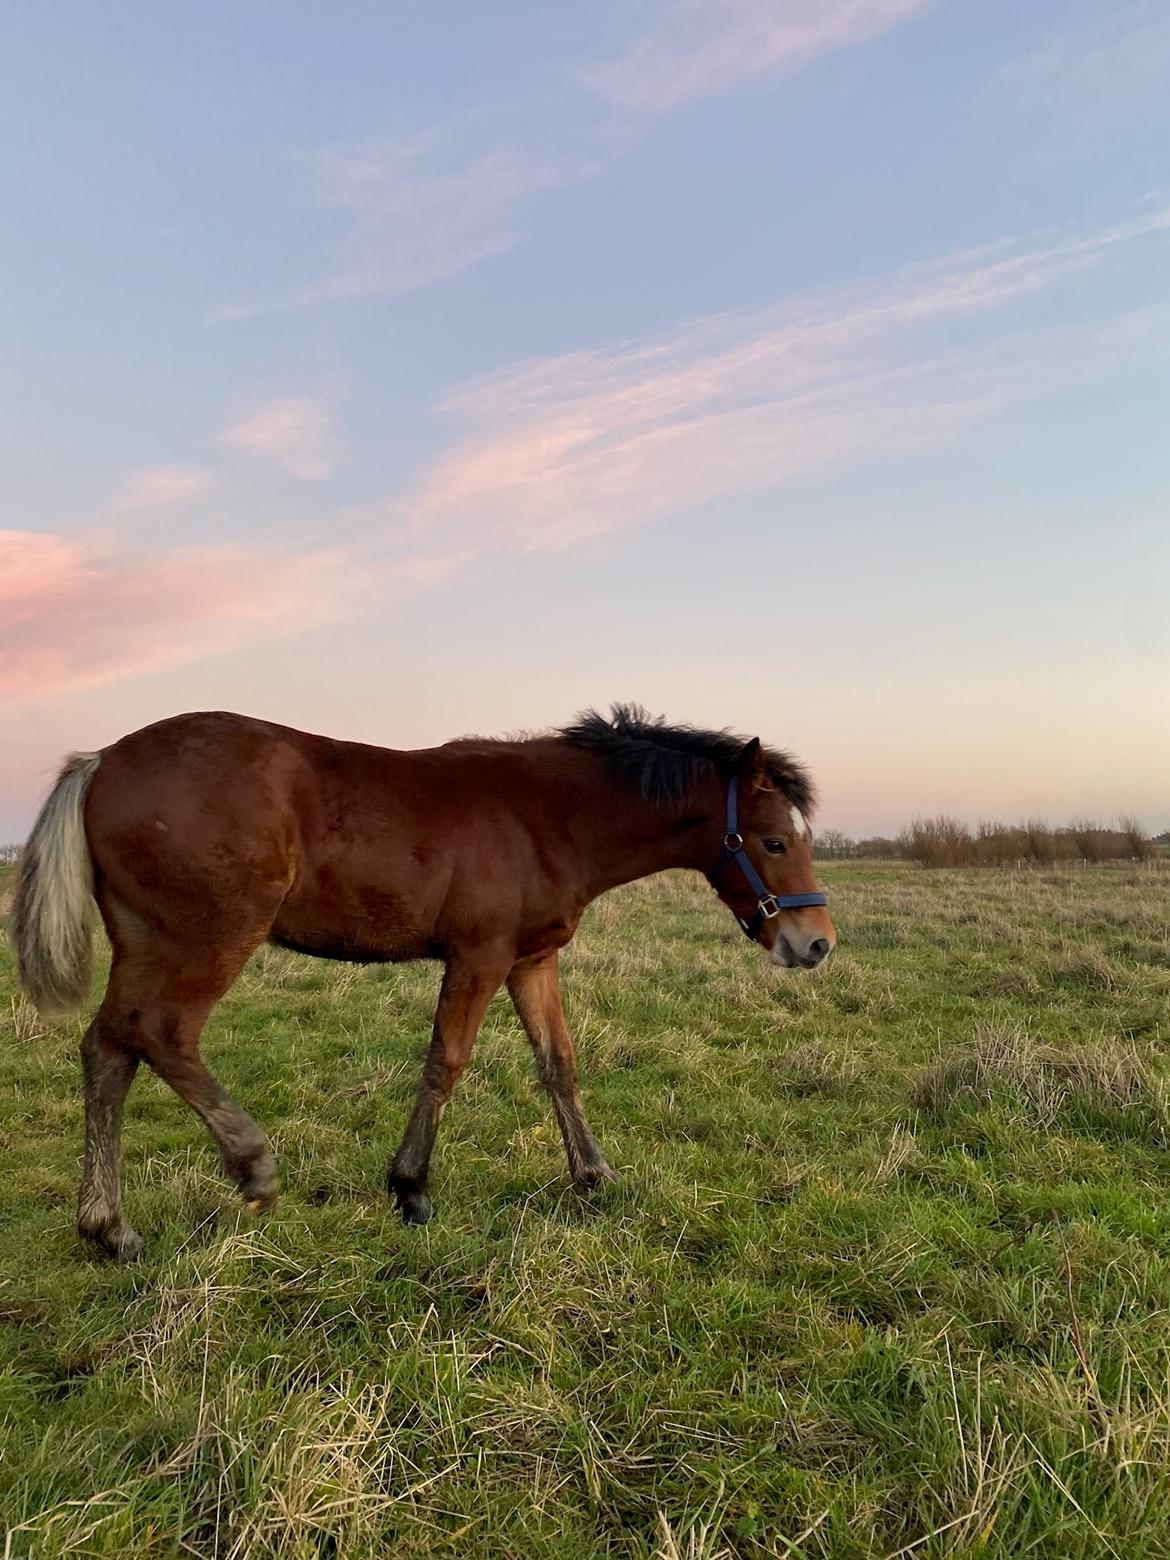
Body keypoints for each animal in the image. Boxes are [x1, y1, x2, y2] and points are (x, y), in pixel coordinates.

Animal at [9, 705, 836, 1254]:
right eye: (772, 840)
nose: (817, 943)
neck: (547, 816)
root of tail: (101, 760)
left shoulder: (531, 961)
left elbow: (558, 1065)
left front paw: (593, 1175)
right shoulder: (479, 957)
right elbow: (447, 1063)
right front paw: (410, 1188)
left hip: (145, 944)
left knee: (109, 1050)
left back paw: (108, 1227)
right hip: (209, 940)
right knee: (162, 1035)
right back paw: (253, 1167)